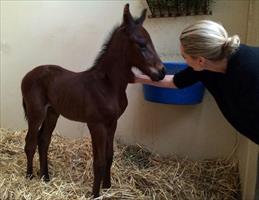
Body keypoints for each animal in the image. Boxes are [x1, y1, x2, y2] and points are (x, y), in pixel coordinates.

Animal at [21, 3, 166, 198]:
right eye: (141, 44)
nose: (162, 72)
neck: (108, 85)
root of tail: (27, 75)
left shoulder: (112, 123)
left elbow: (109, 156)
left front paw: (108, 187)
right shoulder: (96, 125)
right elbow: (99, 161)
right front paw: (95, 194)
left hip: (52, 112)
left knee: (43, 140)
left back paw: (45, 177)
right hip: (36, 112)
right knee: (30, 143)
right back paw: (29, 176)